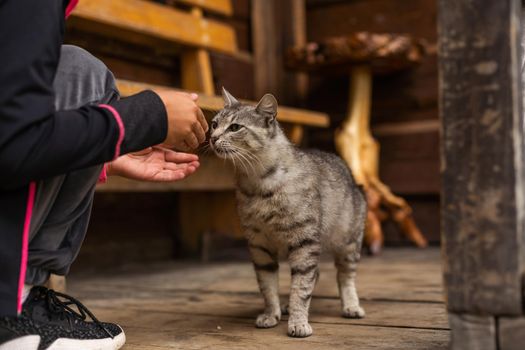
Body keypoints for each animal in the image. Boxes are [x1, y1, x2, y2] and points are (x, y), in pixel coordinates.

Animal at [208, 88, 364, 340]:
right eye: (214, 124)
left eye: (235, 127)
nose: (212, 137)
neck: (257, 183)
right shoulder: (259, 246)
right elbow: (268, 286)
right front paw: (271, 315)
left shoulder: (304, 242)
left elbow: (301, 287)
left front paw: (298, 322)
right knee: (316, 274)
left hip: (348, 243)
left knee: (344, 276)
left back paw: (351, 306)